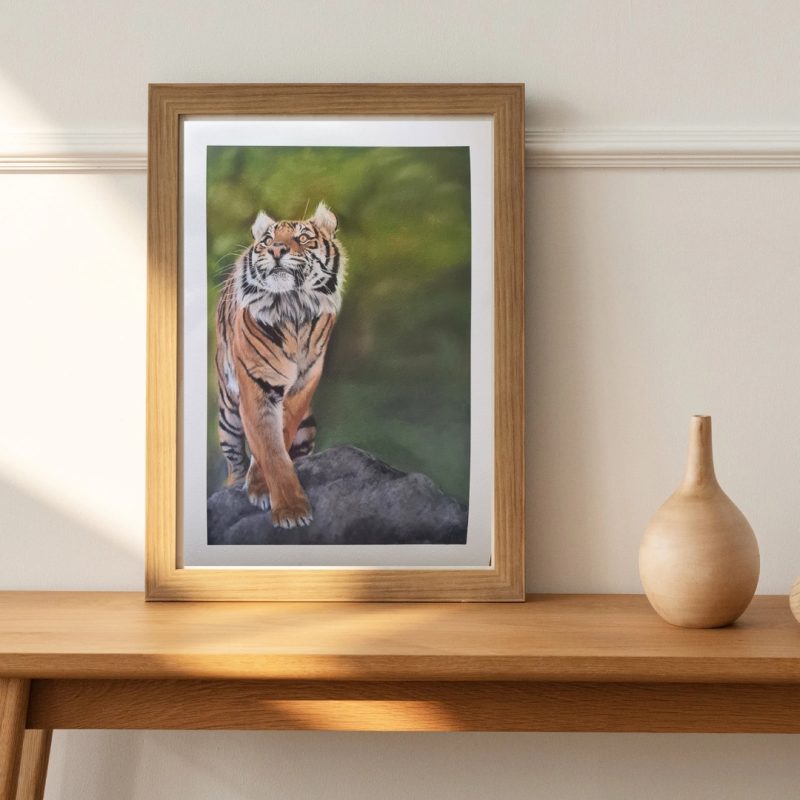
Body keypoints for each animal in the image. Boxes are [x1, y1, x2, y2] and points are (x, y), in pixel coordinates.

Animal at [215, 202, 346, 529]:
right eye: (267, 240)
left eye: (303, 237)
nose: (275, 250)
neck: (293, 307)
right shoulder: (257, 387)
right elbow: (269, 447)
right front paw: (291, 511)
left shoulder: (302, 385)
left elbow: (279, 439)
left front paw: (265, 488)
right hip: (227, 413)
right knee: (234, 457)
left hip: (308, 427)